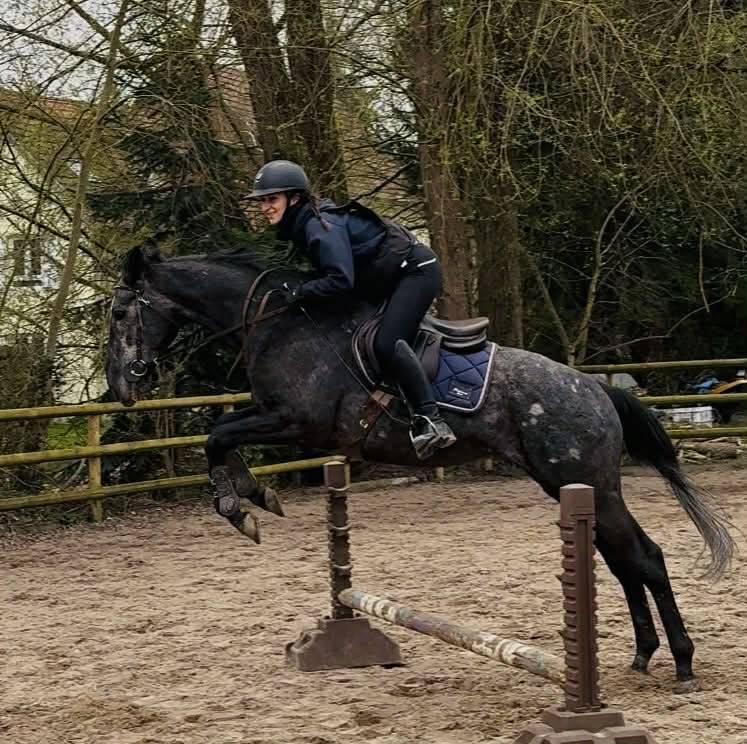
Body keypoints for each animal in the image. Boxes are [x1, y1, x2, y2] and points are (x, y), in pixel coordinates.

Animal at [105, 243, 734, 691]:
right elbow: (220, 434)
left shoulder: (297, 423)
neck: (278, 322)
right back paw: (643, 655)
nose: (119, 390)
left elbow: (216, 436)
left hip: (587, 484)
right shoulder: (282, 422)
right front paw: (254, 498)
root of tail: (596, 387)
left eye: (120, 310)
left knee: (645, 558)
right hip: (574, 485)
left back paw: (681, 663)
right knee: (624, 561)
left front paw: (242, 507)